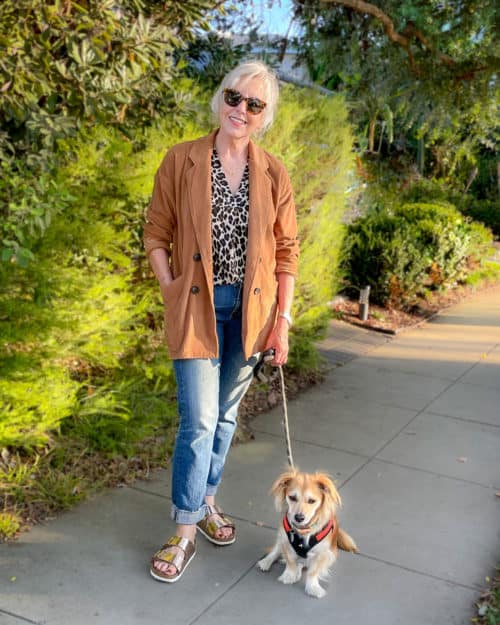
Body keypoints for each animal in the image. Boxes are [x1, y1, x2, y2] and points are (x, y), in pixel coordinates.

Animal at [256, 468, 358, 596]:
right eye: (292, 498)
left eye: (311, 501)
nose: (299, 517)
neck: (303, 530)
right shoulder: (286, 542)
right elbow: (290, 561)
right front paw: (289, 575)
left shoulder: (322, 553)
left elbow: (313, 572)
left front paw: (312, 587)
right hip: (281, 539)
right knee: (276, 551)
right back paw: (266, 562)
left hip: (332, 555)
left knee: (303, 564)